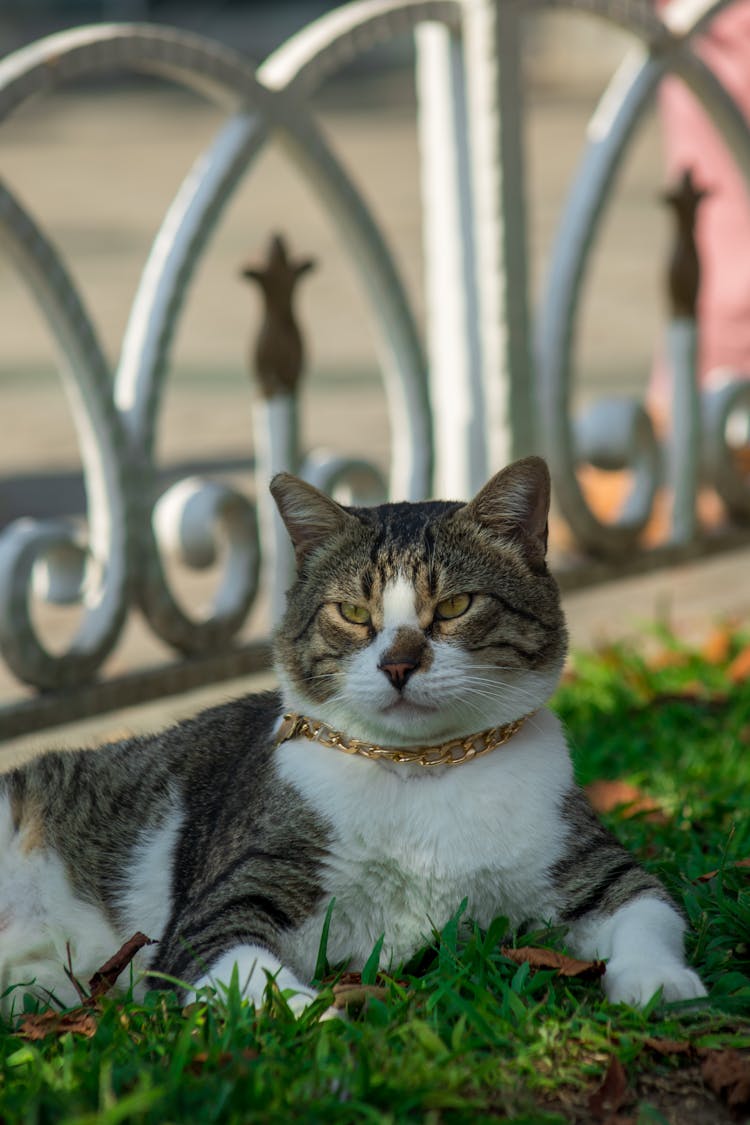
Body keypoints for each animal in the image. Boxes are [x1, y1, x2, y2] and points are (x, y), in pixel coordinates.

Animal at [0, 452, 706, 1017]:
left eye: (455, 606)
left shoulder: (595, 870)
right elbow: (251, 975)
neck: (423, 768)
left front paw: (660, 983)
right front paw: (319, 1024)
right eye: (353, 612)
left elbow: (650, 911)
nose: (398, 663)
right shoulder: (219, 908)